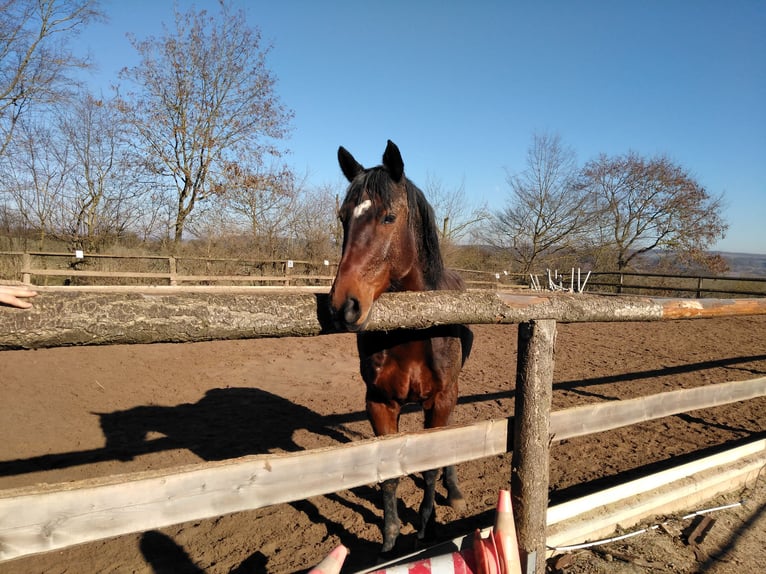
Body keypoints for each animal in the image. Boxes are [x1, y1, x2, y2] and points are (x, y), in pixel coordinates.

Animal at [328, 140, 473, 553]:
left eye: (389, 217)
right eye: (343, 218)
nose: (343, 306)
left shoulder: (440, 399)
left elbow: (429, 469)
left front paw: (427, 525)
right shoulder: (379, 403)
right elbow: (389, 472)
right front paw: (391, 536)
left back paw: (454, 490)